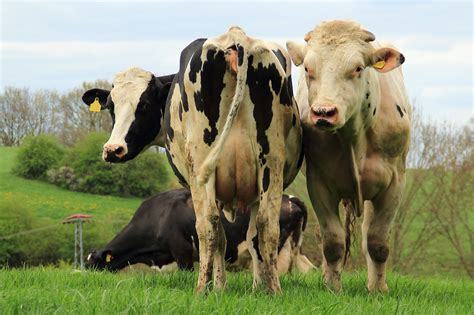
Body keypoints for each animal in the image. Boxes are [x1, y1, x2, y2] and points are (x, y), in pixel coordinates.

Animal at [86, 189, 314, 276]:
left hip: (272, 247)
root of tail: (290, 197)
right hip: (295, 247)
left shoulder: (182, 252)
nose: (85, 276)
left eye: (93, 263)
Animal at [286, 21, 412, 294]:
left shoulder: (394, 184)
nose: (324, 112)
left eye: (357, 68)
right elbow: (332, 243)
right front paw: (333, 287)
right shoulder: (319, 185)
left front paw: (378, 289)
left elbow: (377, 242)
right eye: (308, 68)